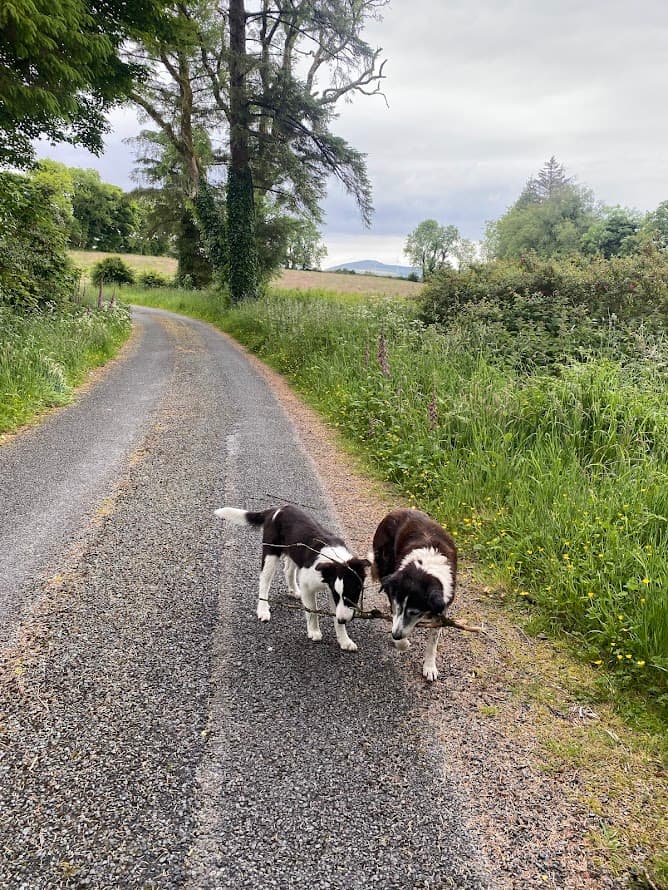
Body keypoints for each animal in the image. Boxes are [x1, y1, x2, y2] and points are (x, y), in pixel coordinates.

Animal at [215, 502, 368, 648]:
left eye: (352, 595)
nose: (343, 620)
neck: (334, 559)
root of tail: (276, 509)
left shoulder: (332, 588)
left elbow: (336, 615)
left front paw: (344, 640)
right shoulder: (309, 585)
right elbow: (312, 610)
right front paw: (314, 631)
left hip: (293, 552)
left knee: (288, 570)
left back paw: (294, 591)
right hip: (271, 553)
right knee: (264, 582)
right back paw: (263, 609)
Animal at [368, 506, 456, 680]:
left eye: (414, 612)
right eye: (399, 607)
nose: (395, 635)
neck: (423, 571)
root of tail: (397, 510)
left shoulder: (442, 606)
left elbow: (433, 642)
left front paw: (430, 667)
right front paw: (401, 643)